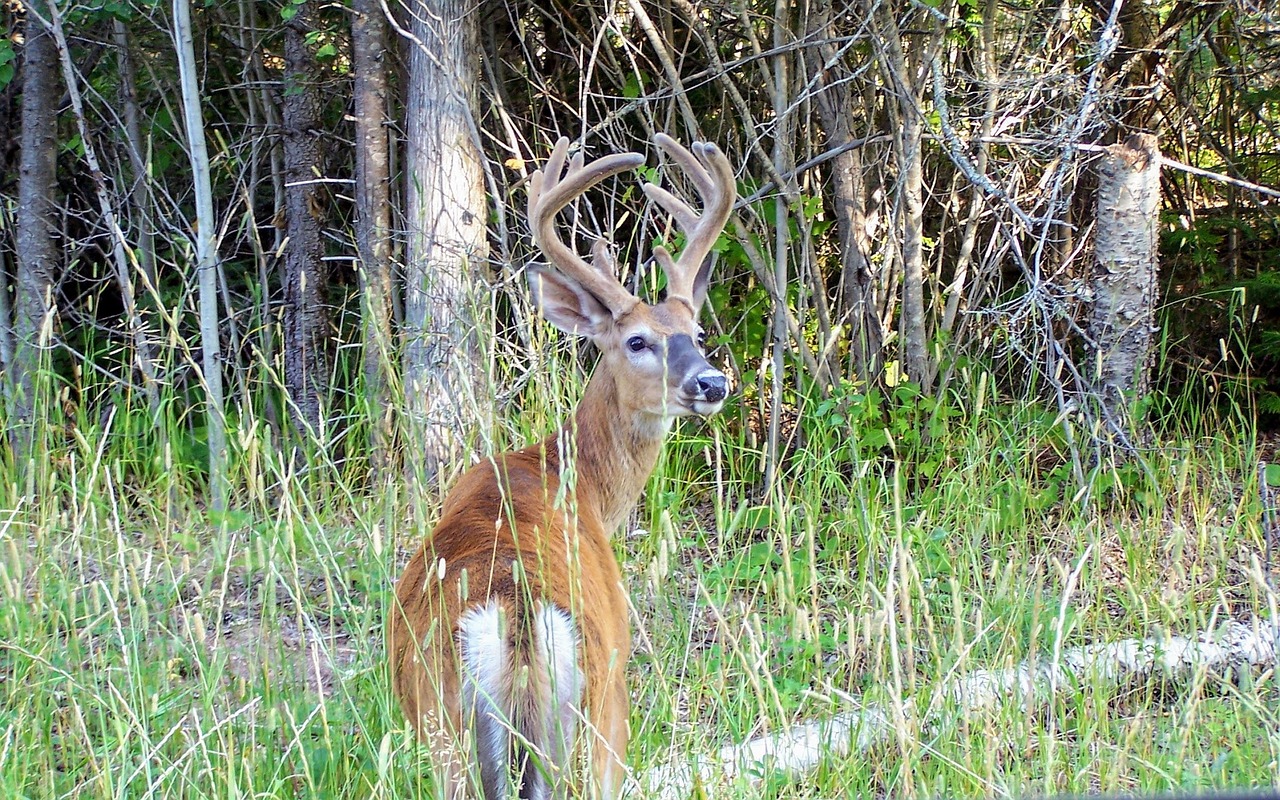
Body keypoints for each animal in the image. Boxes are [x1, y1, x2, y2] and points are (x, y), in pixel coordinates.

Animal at [384, 132, 737, 798]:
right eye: (637, 341)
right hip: (602, 710)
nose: (711, 382)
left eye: (698, 332)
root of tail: (516, 619)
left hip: (445, 735)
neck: (567, 475)